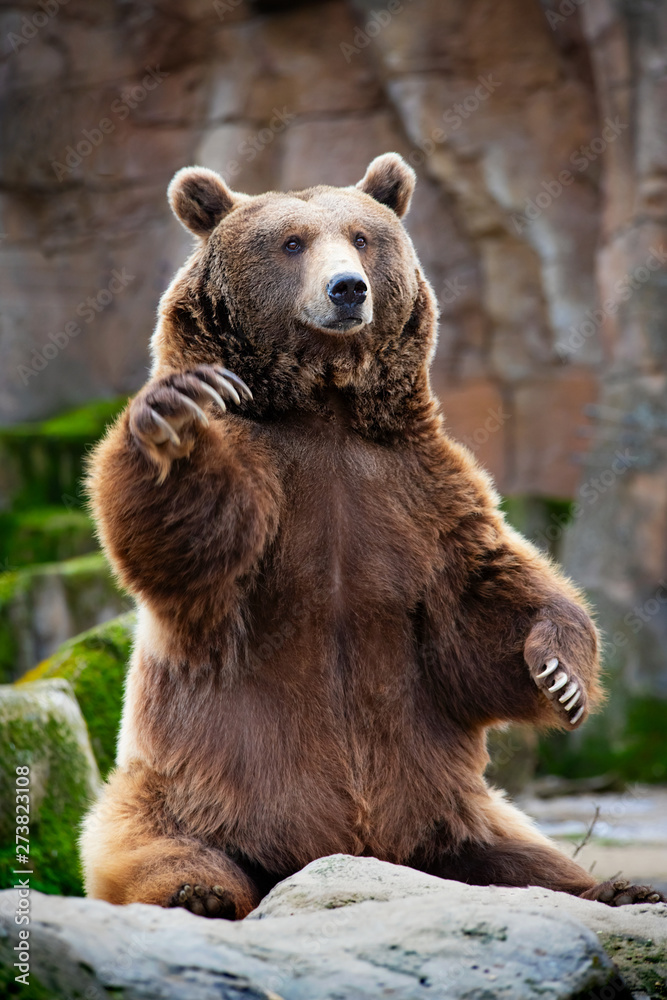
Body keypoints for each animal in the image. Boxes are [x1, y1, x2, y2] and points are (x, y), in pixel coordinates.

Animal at [80, 153, 664, 917]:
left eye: (361, 236)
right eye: (291, 242)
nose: (347, 288)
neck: (325, 406)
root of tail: (359, 854)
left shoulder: (417, 494)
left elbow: (486, 604)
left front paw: (561, 677)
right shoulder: (269, 491)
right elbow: (190, 538)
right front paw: (177, 419)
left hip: (448, 814)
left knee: (522, 858)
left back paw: (615, 887)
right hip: (186, 793)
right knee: (163, 849)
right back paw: (197, 892)